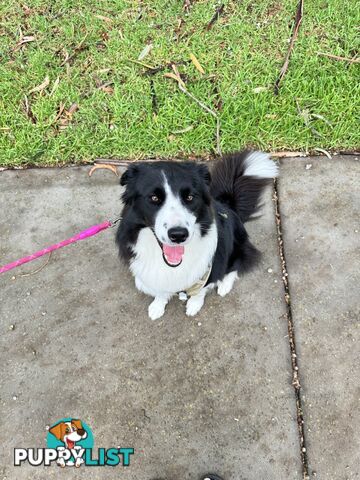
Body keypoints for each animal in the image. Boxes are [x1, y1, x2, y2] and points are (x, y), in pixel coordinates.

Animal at [116, 152, 278, 320]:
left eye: (189, 197)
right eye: (154, 198)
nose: (178, 235)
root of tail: (228, 205)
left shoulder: (209, 268)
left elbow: (200, 290)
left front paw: (194, 304)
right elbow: (160, 291)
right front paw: (157, 306)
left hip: (236, 246)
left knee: (237, 264)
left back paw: (224, 285)